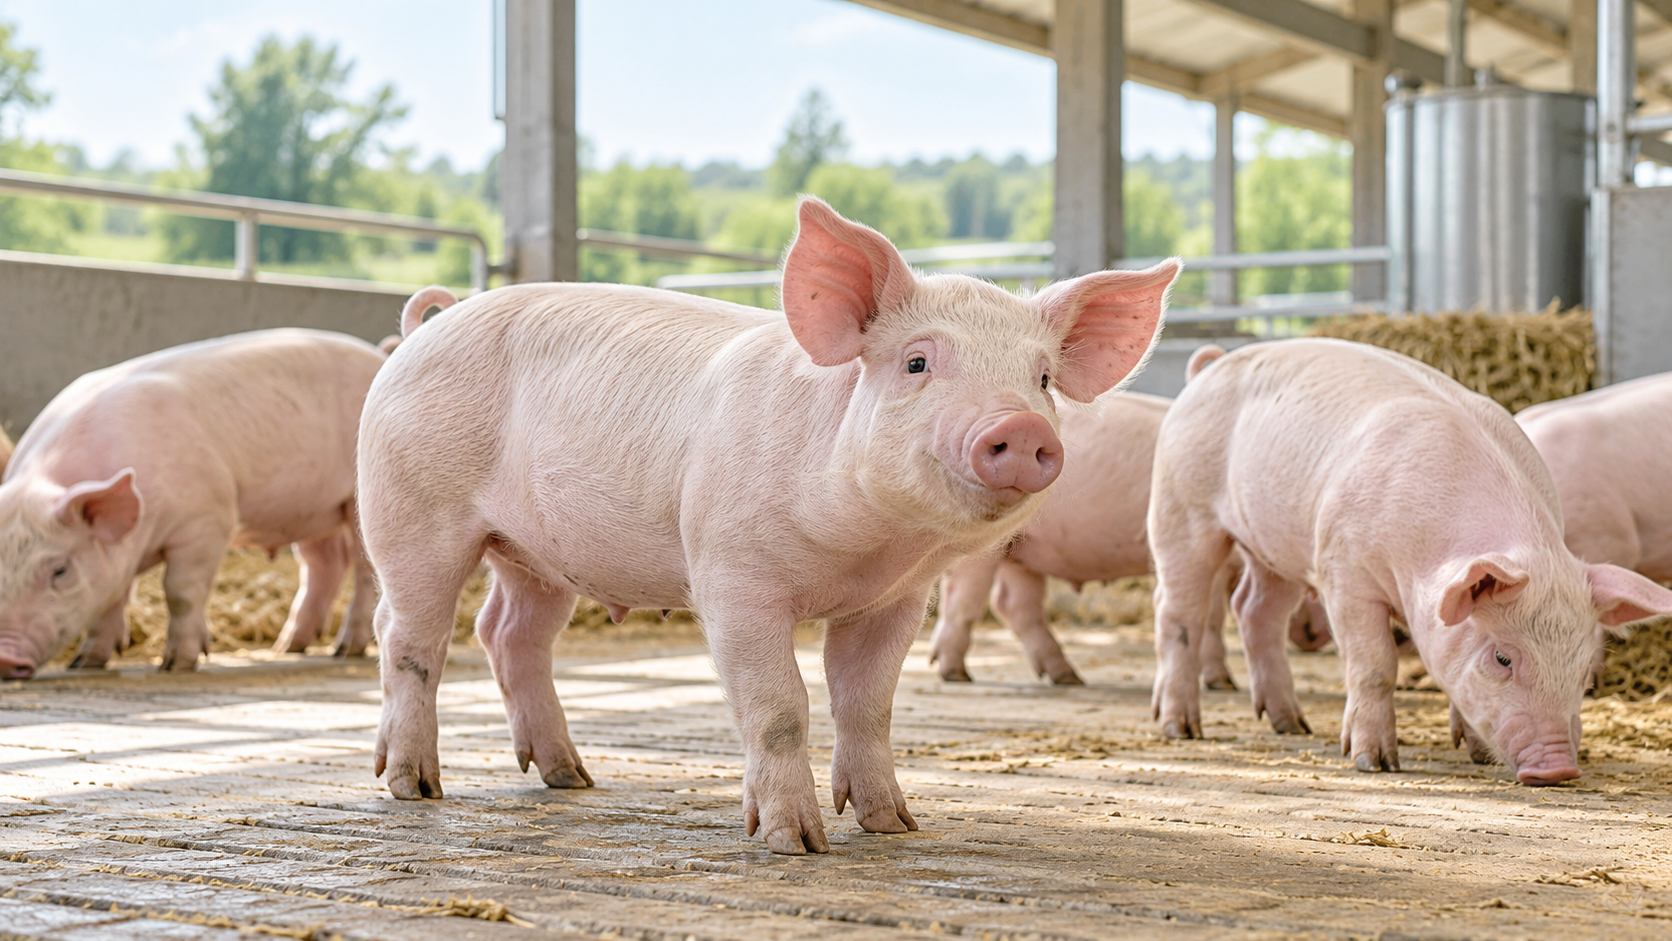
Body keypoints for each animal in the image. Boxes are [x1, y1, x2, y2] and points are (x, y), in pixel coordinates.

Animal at [0, 330, 386, 678]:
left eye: (60, 570)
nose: (5, 658)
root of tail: (380, 355)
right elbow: (112, 599)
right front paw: (86, 663)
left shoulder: (207, 519)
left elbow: (181, 592)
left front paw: (177, 665)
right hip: (311, 510)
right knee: (324, 562)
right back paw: (288, 647)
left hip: (354, 500)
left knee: (364, 571)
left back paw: (345, 651)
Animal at [357, 197, 1178, 854]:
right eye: (917, 362)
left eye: (1042, 379)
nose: (1018, 427)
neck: (865, 550)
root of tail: (425, 327)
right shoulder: (731, 577)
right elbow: (781, 705)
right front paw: (794, 842)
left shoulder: (895, 600)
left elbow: (869, 705)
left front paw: (895, 825)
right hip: (411, 512)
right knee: (407, 636)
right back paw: (414, 785)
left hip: (537, 553)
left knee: (509, 633)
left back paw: (572, 777)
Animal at [926, 392, 1242, 689]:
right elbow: (1213, 615)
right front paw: (1222, 683)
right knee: (965, 598)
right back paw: (956, 674)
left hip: (1020, 547)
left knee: (1014, 603)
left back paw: (1067, 677)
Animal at [1147, 338, 1672, 784]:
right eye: (1503, 657)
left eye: (1583, 670)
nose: (1558, 767)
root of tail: (1210, 366)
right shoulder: (1344, 571)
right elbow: (1374, 665)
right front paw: (1373, 762)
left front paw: (1477, 756)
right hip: (1180, 508)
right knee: (1178, 613)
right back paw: (1180, 728)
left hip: (1274, 548)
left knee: (1255, 611)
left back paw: (1292, 725)